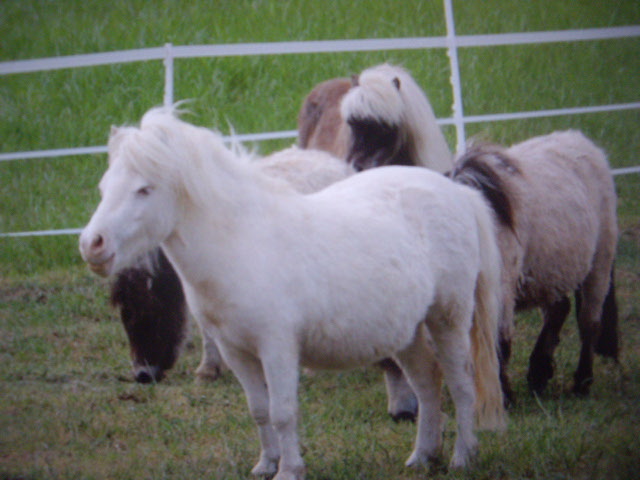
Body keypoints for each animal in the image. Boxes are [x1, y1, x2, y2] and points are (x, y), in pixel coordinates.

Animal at [80, 107, 504, 478]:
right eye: (102, 187)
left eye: (144, 189)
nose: (92, 245)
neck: (241, 243)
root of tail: (457, 192)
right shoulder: (236, 352)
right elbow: (259, 409)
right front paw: (265, 465)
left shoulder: (277, 347)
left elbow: (283, 412)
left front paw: (289, 471)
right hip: (408, 332)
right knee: (428, 385)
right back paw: (421, 457)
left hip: (448, 319)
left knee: (462, 385)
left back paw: (462, 458)